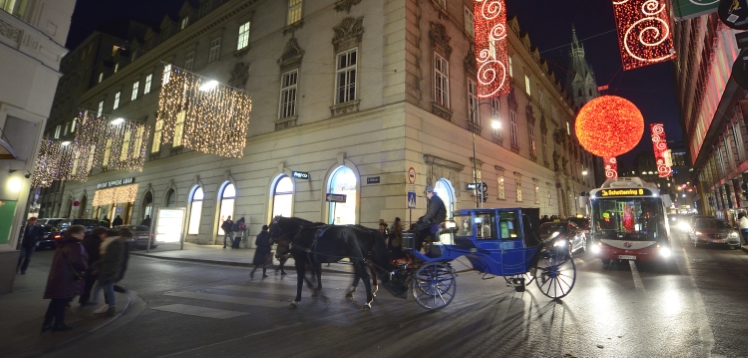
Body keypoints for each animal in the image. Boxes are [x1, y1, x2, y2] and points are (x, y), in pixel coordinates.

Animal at [270, 217, 398, 310]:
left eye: (272, 226)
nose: (271, 240)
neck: (301, 233)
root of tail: (368, 231)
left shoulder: (300, 260)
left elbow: (301, 280)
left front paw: (297, 299)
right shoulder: (312, 260)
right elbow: (316, 274)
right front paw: (317, 290)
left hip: (357, 258)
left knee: (365, 276)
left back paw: (368, 300)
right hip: (358, 258)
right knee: (363, 272)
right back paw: (356, 291)